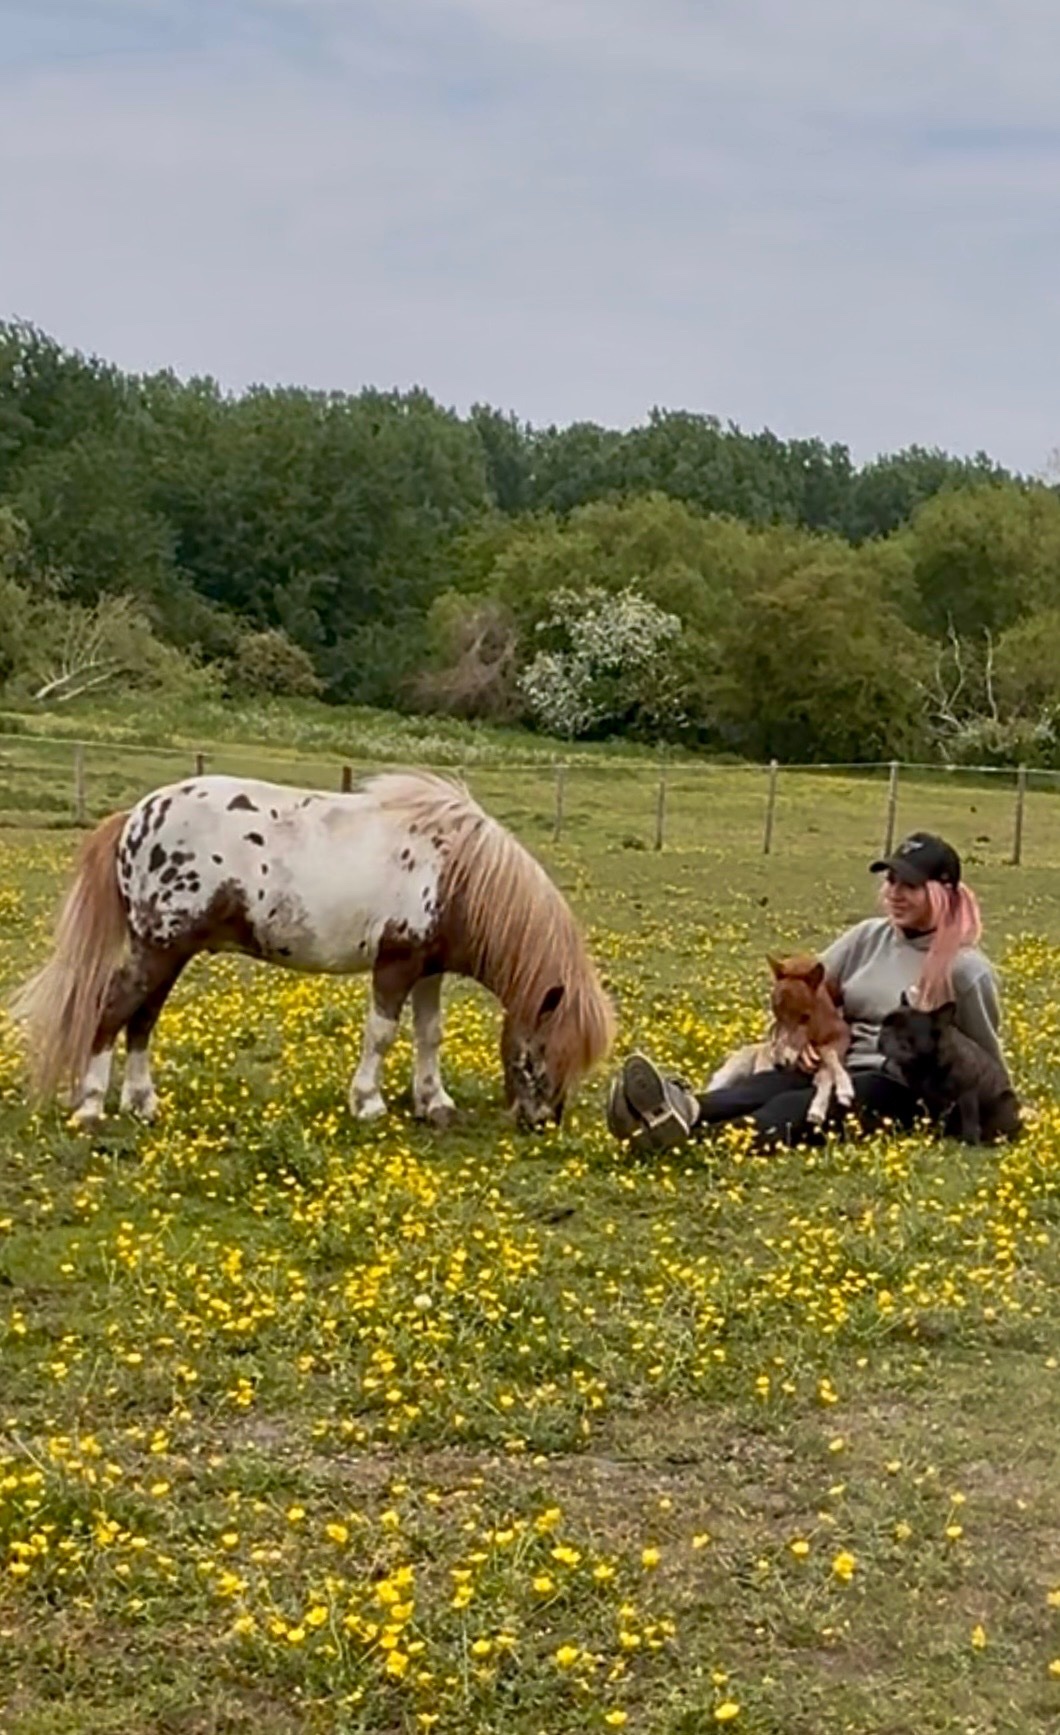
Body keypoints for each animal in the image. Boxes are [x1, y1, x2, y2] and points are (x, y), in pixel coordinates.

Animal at [10, 770, 615, 1131]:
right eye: (541, 1052)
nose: (543, 1120)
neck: (455, 872)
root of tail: (134, 818)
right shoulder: (396, 964)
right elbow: (382, 1034)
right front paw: (368, 1103)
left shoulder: (428, 969)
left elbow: (429, 1034)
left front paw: (434, 1103)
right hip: (158, 948)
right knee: (113, 1010)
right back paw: (91, 1107)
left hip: (167, 952)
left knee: (142, 1019)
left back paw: (141, 1104)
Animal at [707, 953, 854, 1126]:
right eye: (776, 1015)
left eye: (805, 1017)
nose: (779, 1063)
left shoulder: (841, 1037)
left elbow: (828, 1060)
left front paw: (838, 1095)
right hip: (730, 1074)